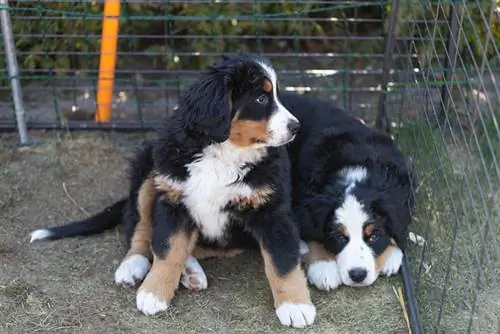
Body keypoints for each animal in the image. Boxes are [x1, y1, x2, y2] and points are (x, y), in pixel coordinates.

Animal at [29, 52, 314, 328]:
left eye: (277, 96)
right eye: (261, 97)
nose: (296, 127)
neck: (223, 153)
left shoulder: (271, 209)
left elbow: (282, 261)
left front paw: (295, 306)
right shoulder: (174, 199)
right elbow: (167, 247)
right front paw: (154, 292)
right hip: (149, 171)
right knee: (141, 228)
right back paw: (136, 264)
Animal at [282, 92, 418, 290]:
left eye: (373, 236)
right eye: (339, 237)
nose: (358, 275)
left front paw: (392, 254)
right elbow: (313, 232)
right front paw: (323, 266)